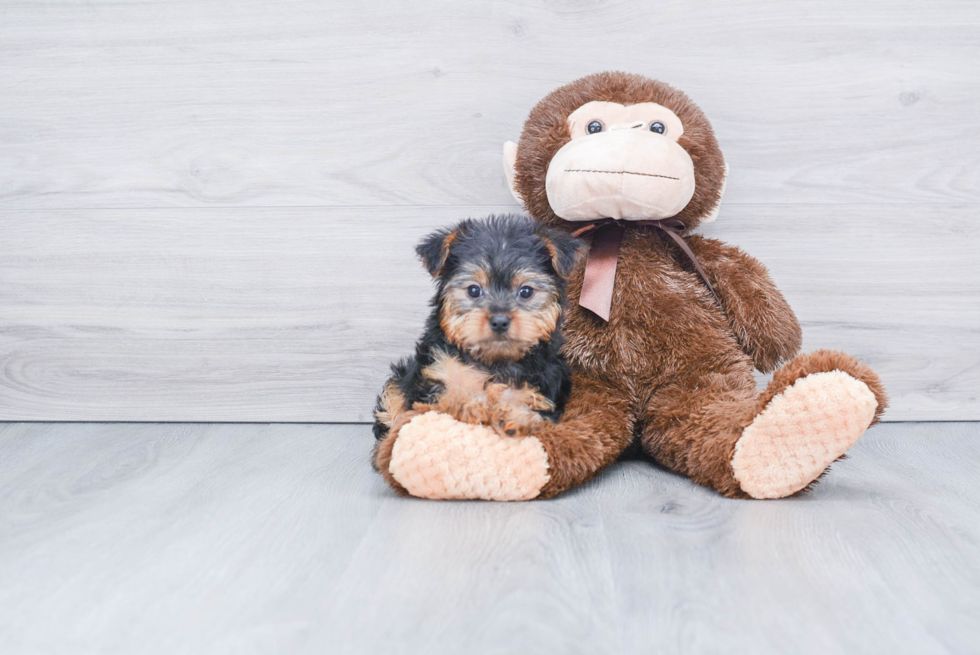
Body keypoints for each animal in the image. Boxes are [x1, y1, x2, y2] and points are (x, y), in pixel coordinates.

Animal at [372, 215, 580, 456]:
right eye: (474, 290)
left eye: (526, 292)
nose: (499, 321)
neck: (494, 361)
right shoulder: (436, 375)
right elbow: (450, 396)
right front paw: (474, 406)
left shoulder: (547, 386)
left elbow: (529, 406)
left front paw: (515, 416)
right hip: (400, 380)